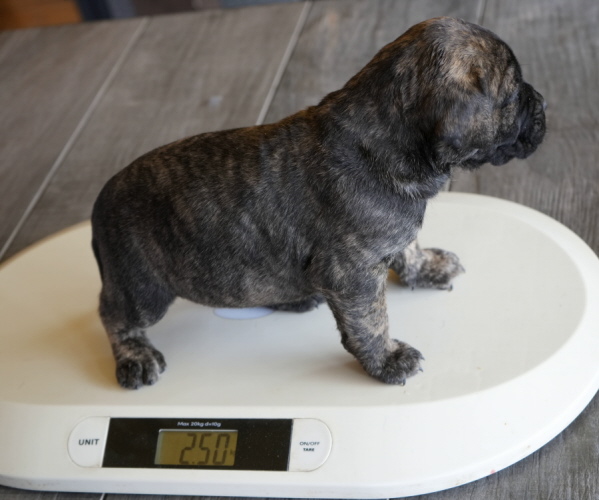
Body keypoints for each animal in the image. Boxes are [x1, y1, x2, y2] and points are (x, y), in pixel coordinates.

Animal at [92, 17, 546, 389]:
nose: (542, 102)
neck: (383, 136)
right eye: (512, 96)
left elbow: (409, 248)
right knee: (112, 315)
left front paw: (428, 266)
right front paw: (388, 360)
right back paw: (135, 357)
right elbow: (371, 321)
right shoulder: (354, 274)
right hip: (142, 288)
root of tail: (100, 203)